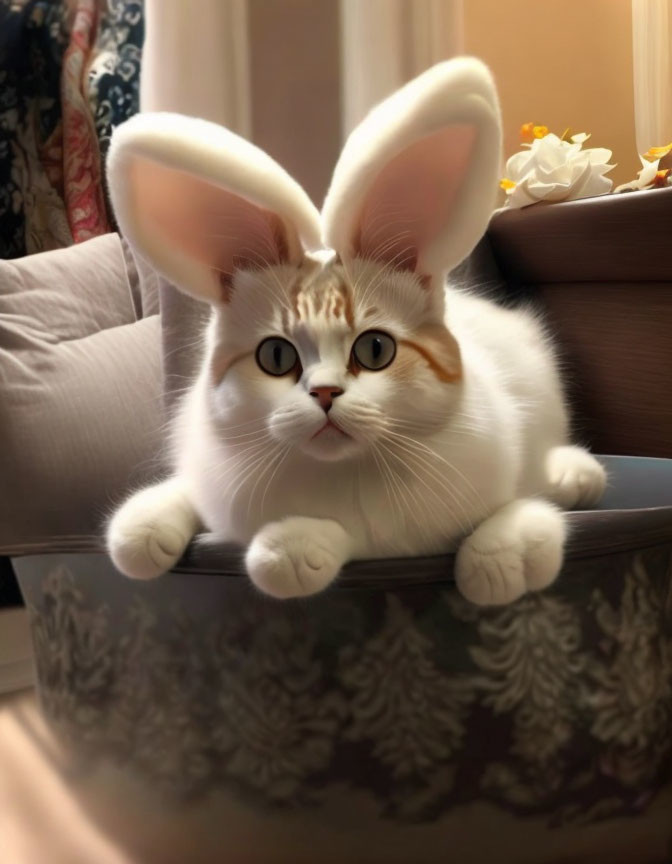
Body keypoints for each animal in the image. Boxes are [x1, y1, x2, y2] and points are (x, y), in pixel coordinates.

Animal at [106, 57, 604, 604]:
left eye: (375, 350)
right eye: (276, 358)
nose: (325, 393)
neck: (344, 480)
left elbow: (510, 526)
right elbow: (176, 502)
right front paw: (143, 532)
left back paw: (574, 475)